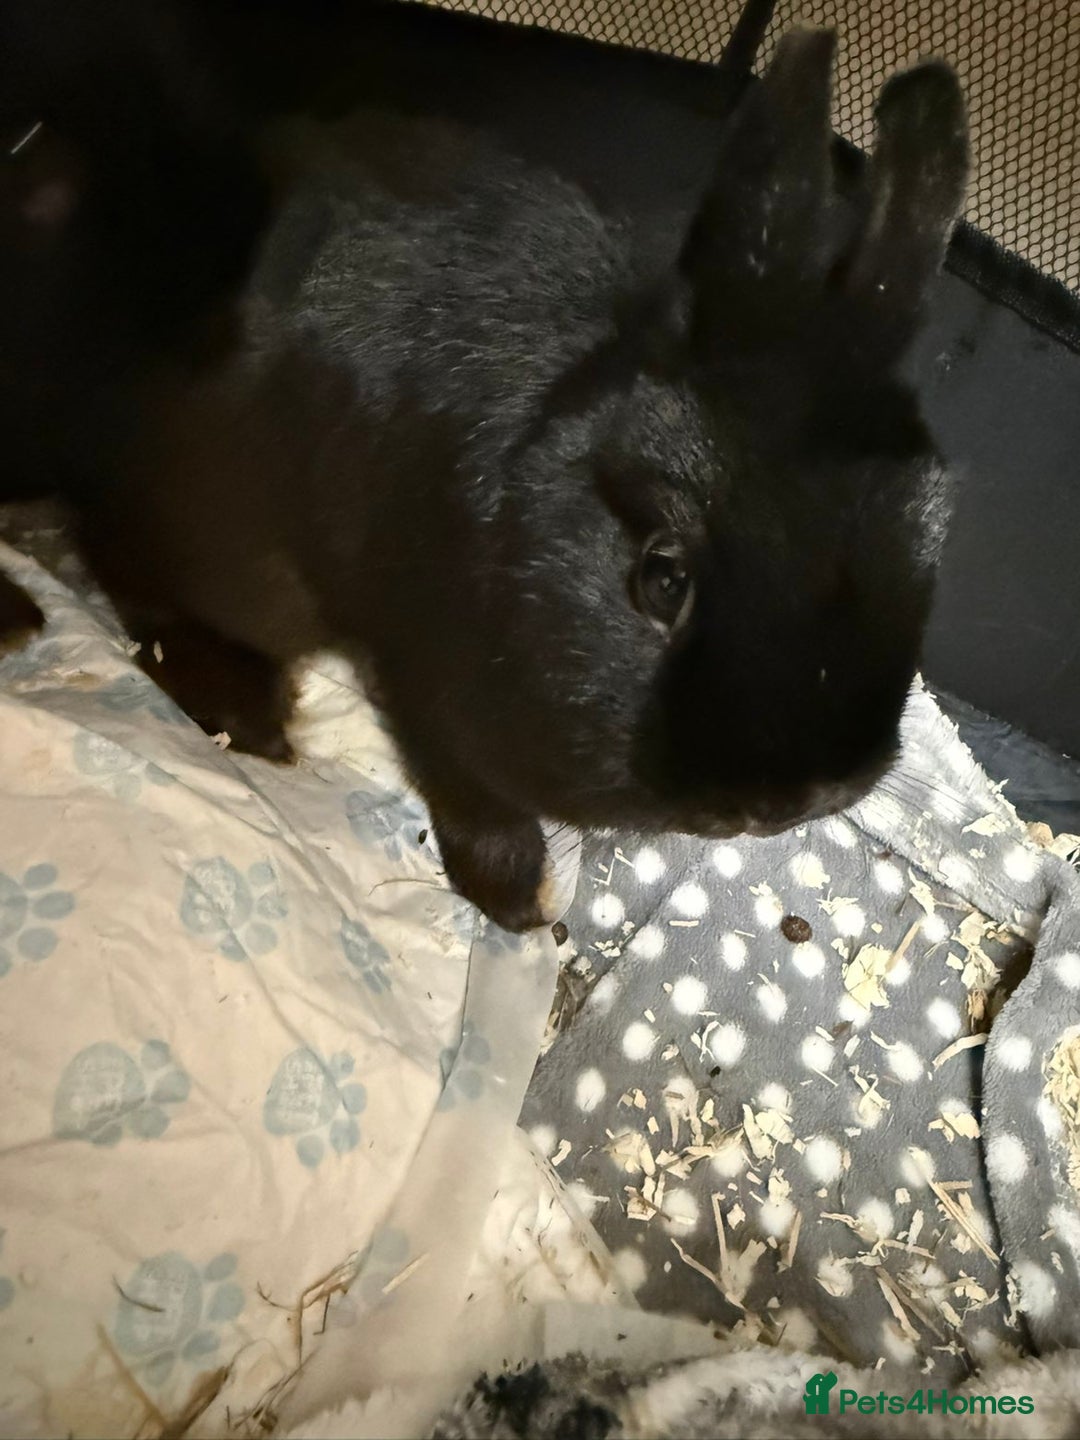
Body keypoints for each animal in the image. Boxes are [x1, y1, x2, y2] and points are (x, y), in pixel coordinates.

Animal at [67, 25, 968, 932]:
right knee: (126, 574)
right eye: (663, 579)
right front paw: (518, 904)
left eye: (925, 566)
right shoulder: (422, 681)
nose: (792, 800)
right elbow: (473, 798)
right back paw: (252, 719)